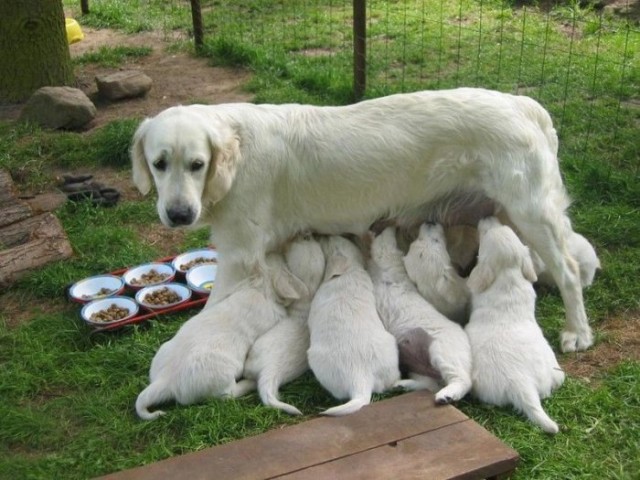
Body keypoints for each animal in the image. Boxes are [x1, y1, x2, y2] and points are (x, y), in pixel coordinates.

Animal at [131, 86, 596, 350]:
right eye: (159, 163)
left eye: (196, 164)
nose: (178, 214)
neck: (236, 156)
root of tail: (524, 105)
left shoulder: (239, 253)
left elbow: (213, 309)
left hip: (530, 211)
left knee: (569, 270)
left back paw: (578, 331)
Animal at [368, 227, 472, 404]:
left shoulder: (387, 257)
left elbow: (384, 245)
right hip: (418, 368)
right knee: (429, 384)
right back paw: (402, 384)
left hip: (442, 349)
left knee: (462, 379)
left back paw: (446, 395)